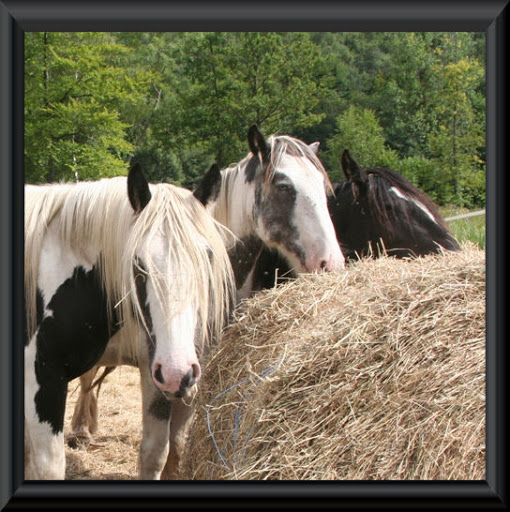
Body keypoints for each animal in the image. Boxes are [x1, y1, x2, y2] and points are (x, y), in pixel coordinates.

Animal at [23, 167, 231, 480]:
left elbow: (155, 454)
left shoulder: (154, 367)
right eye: (138, 264)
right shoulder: (42, 379)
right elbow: (49, 466)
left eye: (207, 258)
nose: (178, 373)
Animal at [68, 126, 346, 478]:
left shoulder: (190, 374)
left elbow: (177, 446)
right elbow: (154, 452)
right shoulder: (158, 374)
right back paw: (81, 430)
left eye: (324, 187)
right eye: (284, 187)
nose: (330, 264)